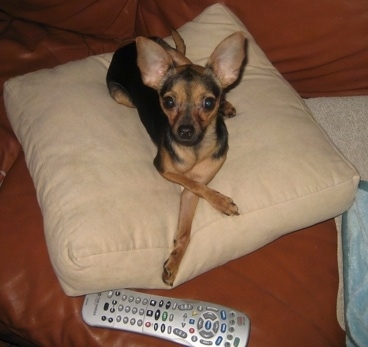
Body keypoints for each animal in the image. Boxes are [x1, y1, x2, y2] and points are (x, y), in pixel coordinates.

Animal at [106, 29, 247, 286]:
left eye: (208, 102)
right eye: (168, 102)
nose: (185, 131)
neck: (195, 149)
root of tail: (127, 46)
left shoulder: (194, 187)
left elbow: (187, 224)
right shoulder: (165, 170)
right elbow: (194, 188)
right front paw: (222, 201)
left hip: (177, 58)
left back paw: (226, 105)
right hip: (121, 96)